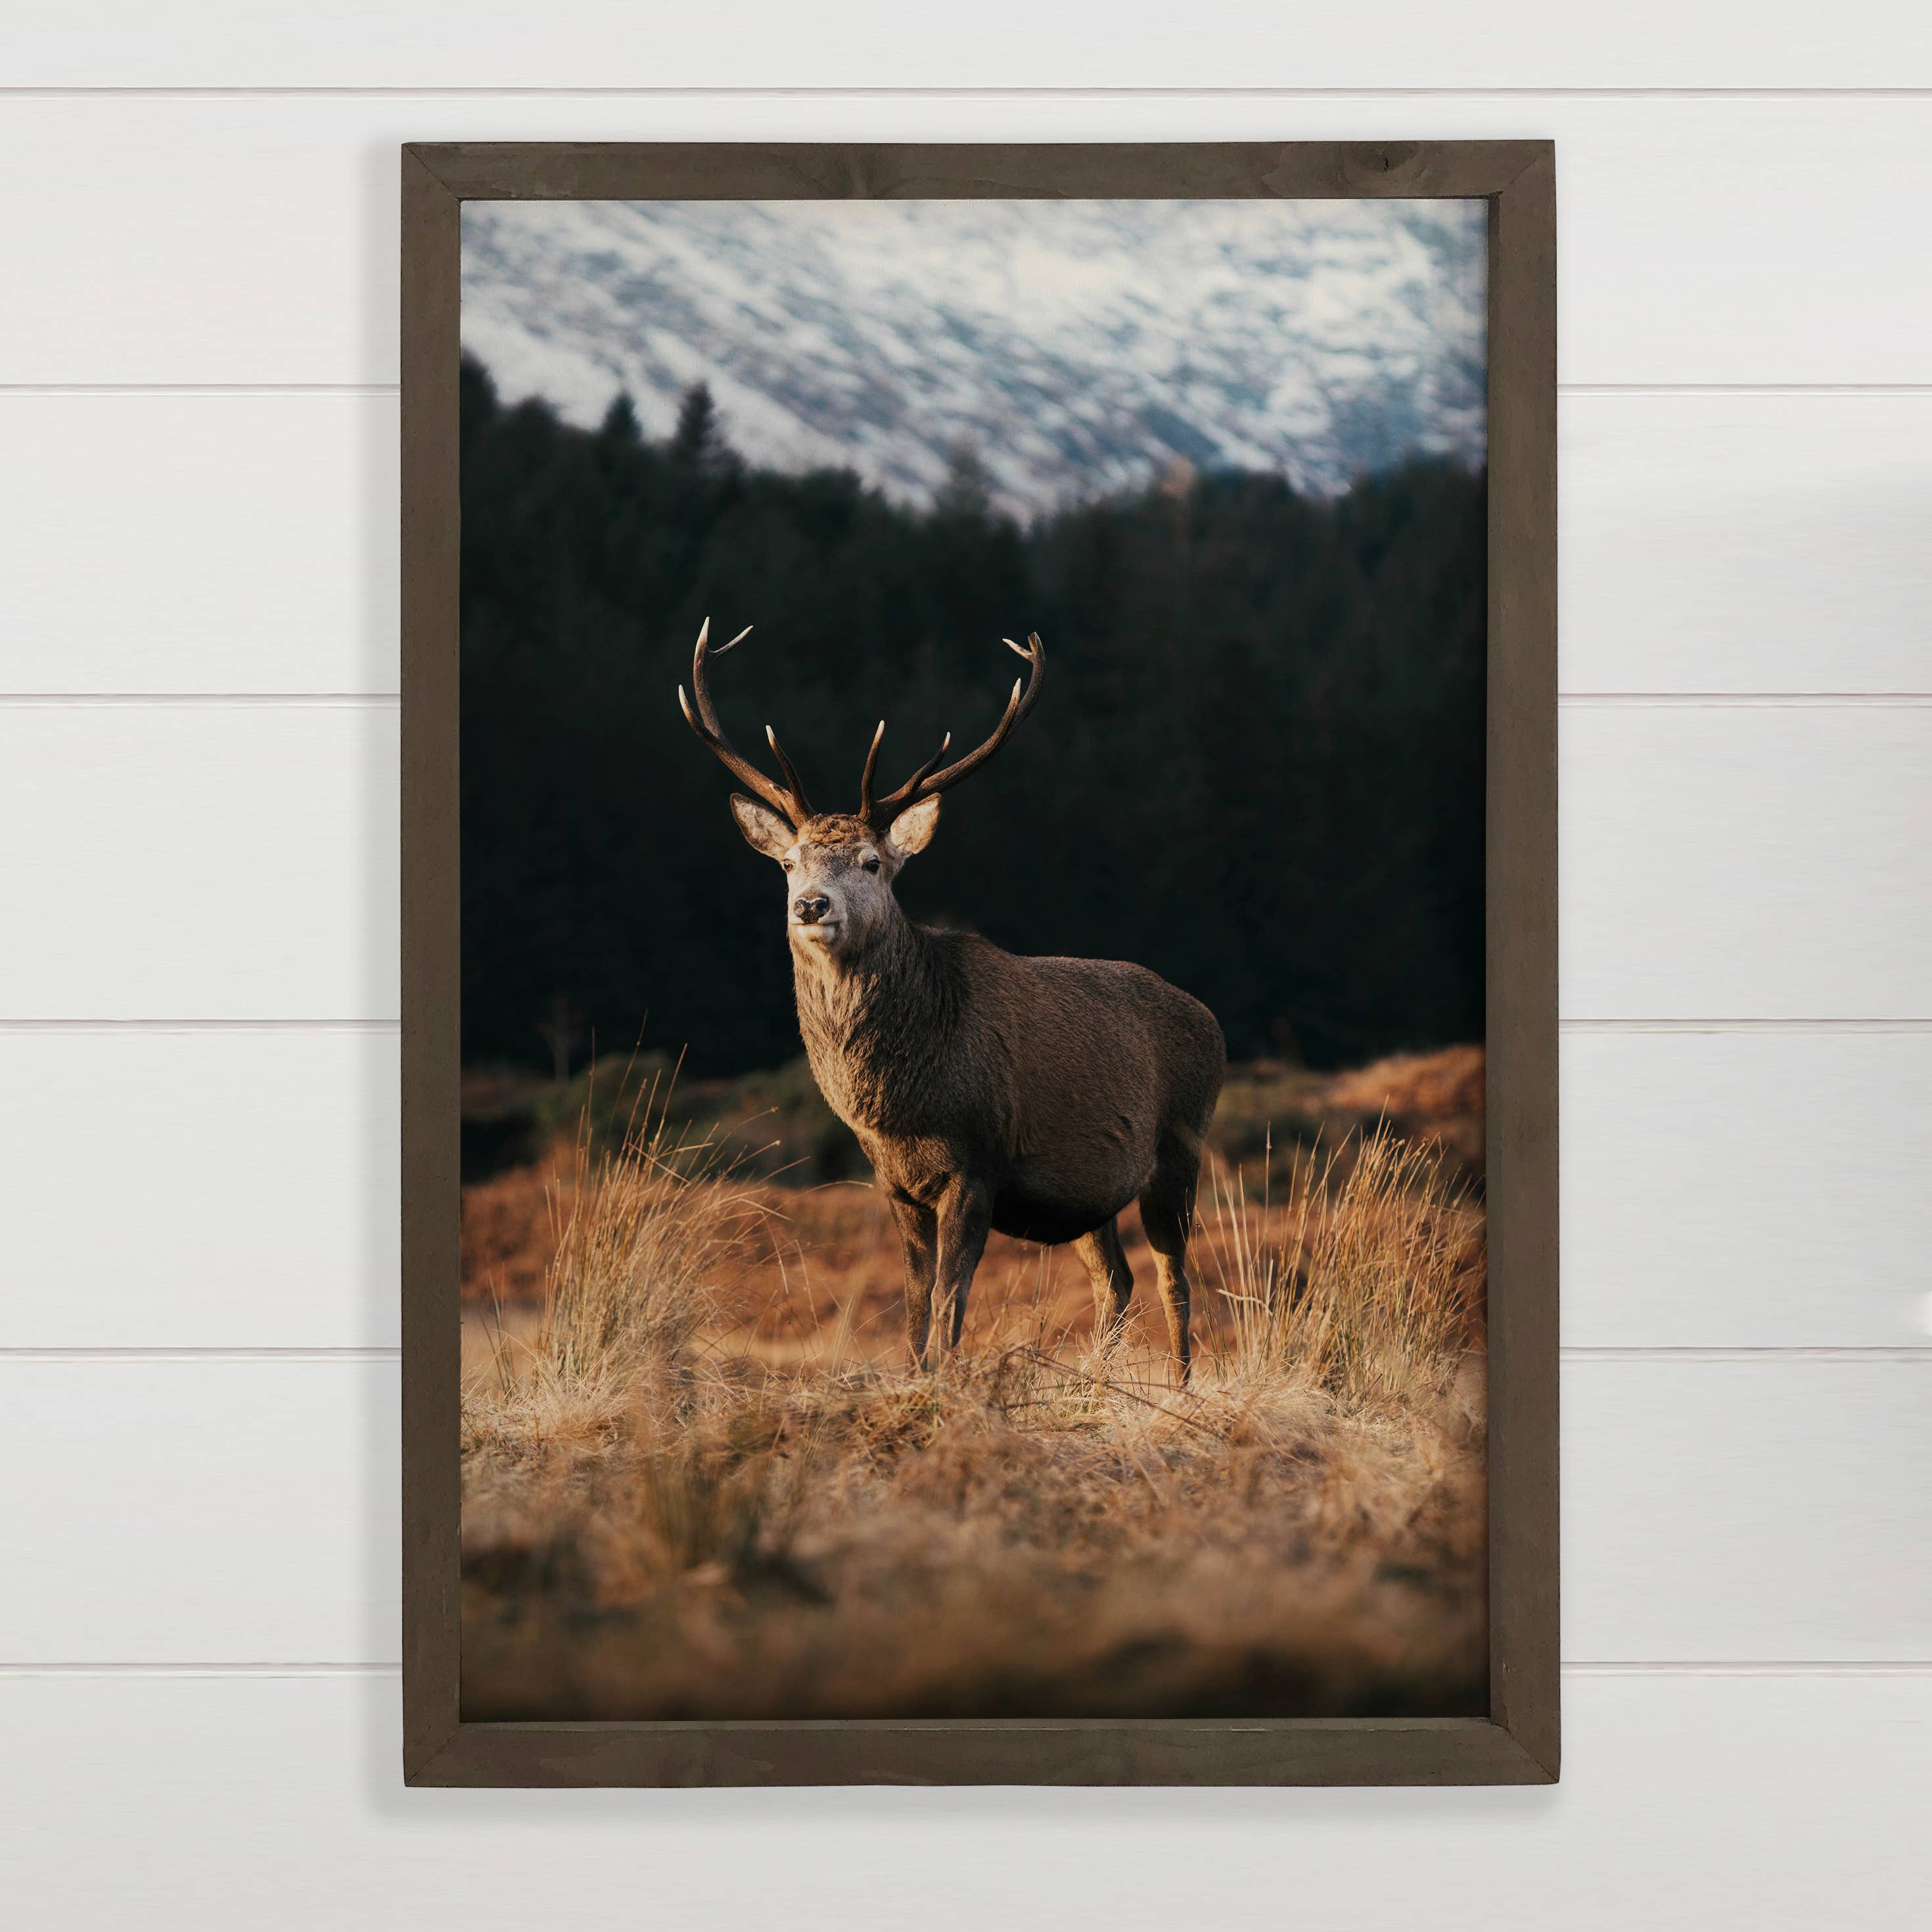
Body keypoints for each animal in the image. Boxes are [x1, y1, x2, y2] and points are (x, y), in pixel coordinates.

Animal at [678, 620, 1226, 1381]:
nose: (811, 905)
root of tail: (1212, 1020)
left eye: (873, 863)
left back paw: (1178, 1386)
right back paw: (1097, 1383)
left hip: (1181, 1145)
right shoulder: (894, 1181)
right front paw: (914, 1379)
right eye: (788, 862)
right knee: (1116, 1278)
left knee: (1176, 1274)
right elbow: (912, 1304)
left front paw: (943, 1383)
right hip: (1087, 1193)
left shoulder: (977, 1163)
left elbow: (948, 1302)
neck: (900, 1105)